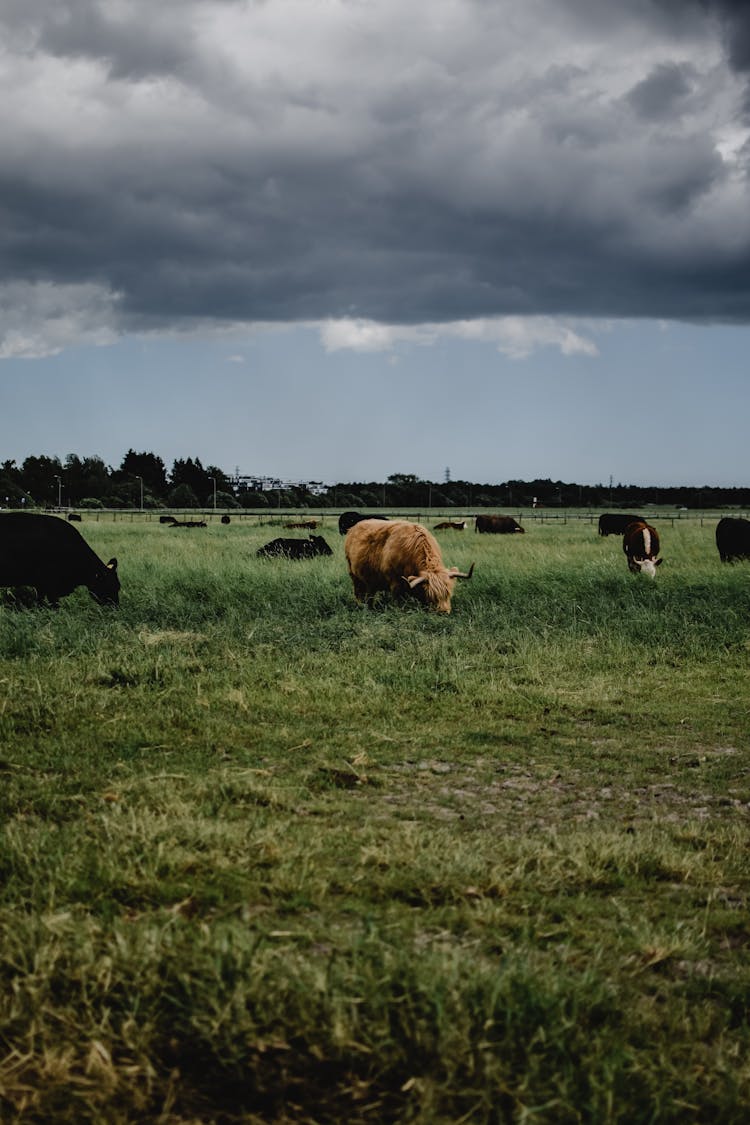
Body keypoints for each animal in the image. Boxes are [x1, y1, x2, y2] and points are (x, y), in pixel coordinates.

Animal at [344, 519, 472, 616]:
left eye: (448, 593)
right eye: (431, 595)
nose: (443, 612)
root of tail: (353, 528)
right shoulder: (395, 584)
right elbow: (397, 602)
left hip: (371, 580)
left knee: (370, 594)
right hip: (353, 574)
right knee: (358, 592)